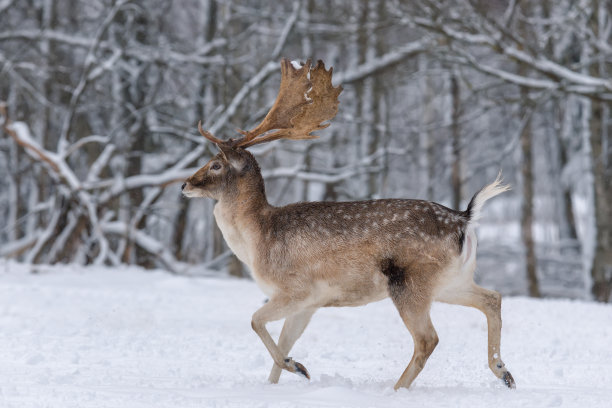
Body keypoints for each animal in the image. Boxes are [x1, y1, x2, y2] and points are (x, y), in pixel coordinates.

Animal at [182, 59, 516, 390]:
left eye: (216, 164)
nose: (185, 184)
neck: (257, 240)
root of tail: (464, 219)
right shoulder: (308, 304)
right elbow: (283, 343)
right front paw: (288, 373)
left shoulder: (296, 289)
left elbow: (255, 321)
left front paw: (298, 366)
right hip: (451, 280)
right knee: (492, 298)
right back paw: (504, 373)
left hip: (410, 281)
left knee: (427, 339)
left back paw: (398, 389)